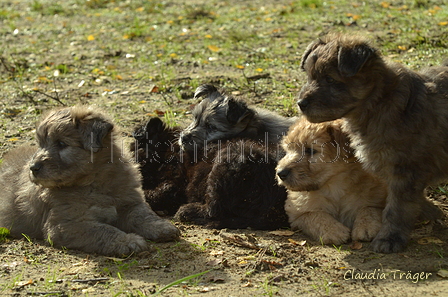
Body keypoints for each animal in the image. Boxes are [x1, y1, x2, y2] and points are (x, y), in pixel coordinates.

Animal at [0, 106, 178, 254]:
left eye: (61, 143)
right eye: (41, 144)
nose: (33, 167)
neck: (95, 182)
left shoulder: (129, 202)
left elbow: (142, 215)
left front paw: (160, 226)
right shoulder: (67, 224)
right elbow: (102, 230)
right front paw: (127, 241)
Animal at [296, 34, 446, 252]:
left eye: (330, 79)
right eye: (309, 76)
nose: (301, 104)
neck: (378, 100)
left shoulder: (403, 171)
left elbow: (396, 209)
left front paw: (389, 239)